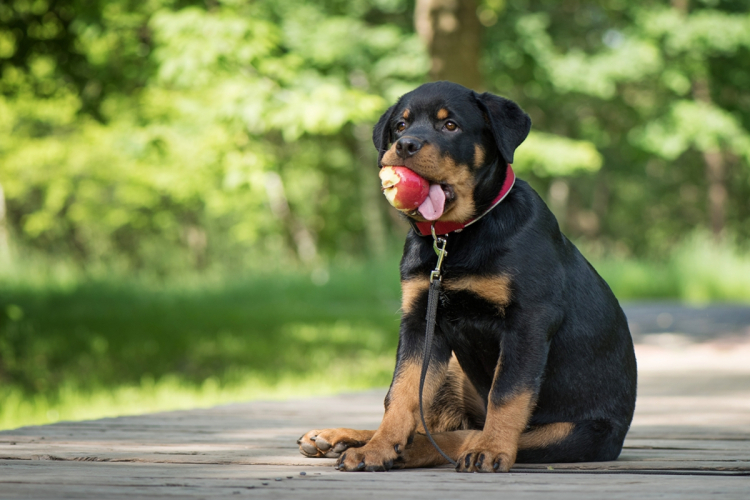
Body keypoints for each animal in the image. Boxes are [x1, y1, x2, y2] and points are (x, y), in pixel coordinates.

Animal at [296, 81, 636, 472]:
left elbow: (507, 394)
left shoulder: (528, 321)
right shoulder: (420, 321)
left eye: (450, 126)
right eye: (400, 125)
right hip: (455, 371)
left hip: (572, 433)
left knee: (464, 433)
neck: (454, 237)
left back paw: (421, 449)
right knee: (441, 423)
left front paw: (492, 449)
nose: (405, 145)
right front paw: (378, 448)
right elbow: (400, 393)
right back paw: (342, 438)